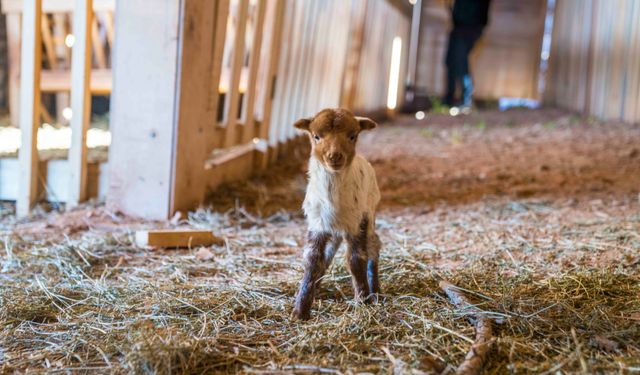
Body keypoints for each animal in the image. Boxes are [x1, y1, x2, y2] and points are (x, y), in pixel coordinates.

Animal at [292, 108, 382, 320]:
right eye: (316, 136)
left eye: (353, 136)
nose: (334, 156)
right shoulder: (317, 224)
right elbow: (313, 259)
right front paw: (301, 309)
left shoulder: (357, 222)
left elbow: (356, 259)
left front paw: (363, 301)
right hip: (334, 229)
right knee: (328, 255)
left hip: (370, 213)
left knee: (374, 245)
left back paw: (376, 292)